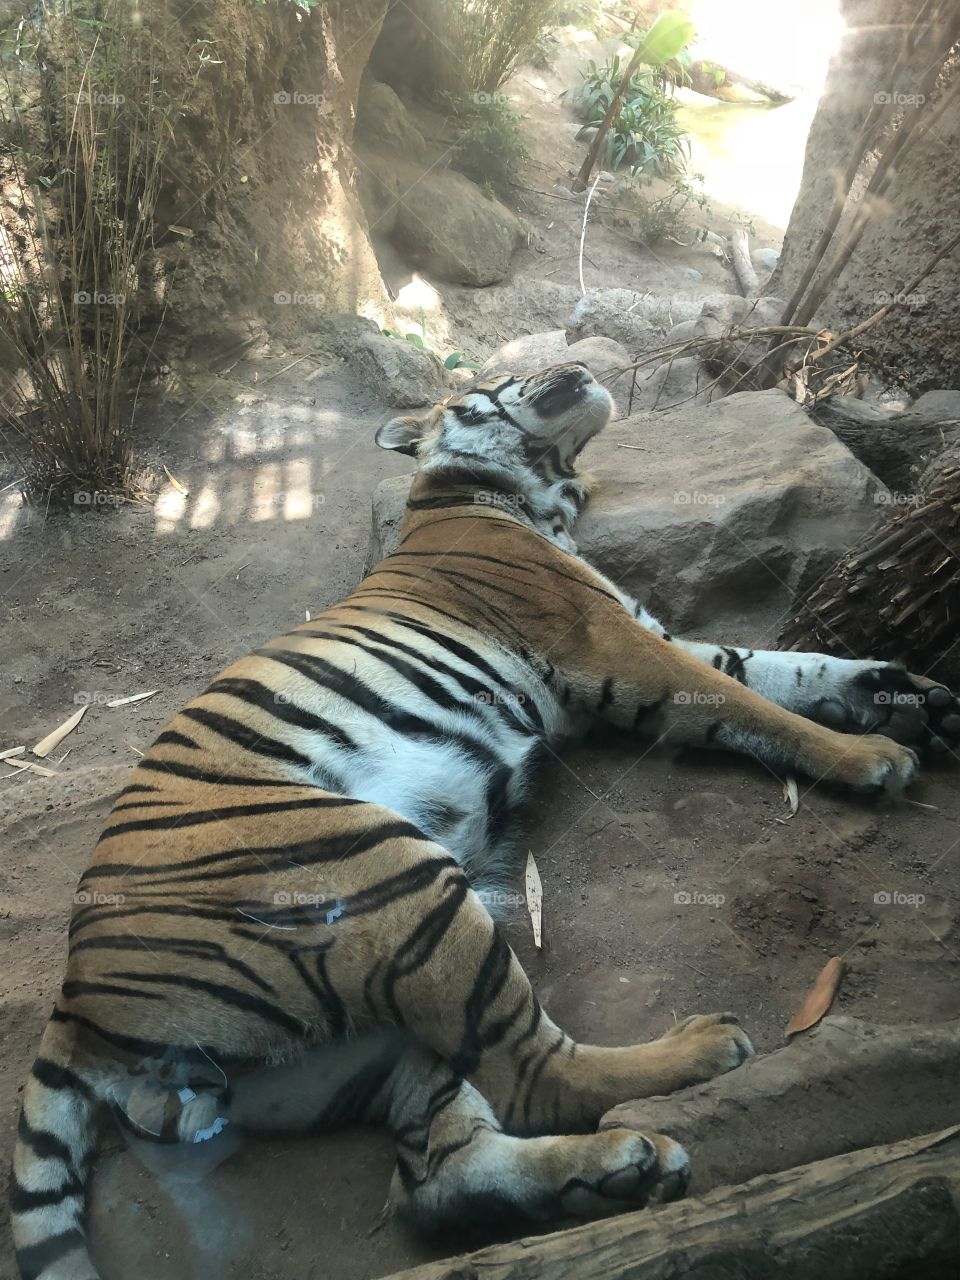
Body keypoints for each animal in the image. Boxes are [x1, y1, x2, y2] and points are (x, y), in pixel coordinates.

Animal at [11, 362, 960, 1280]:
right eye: (493, 375)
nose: (570, 360)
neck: (535, 499)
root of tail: (73, 1002)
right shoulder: (617, 641)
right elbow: (753, 702)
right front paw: (870, 758)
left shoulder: (649, 635)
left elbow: (780, 667)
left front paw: (908, 695)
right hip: (392, 877)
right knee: (534, 1074)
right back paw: (698, 1056)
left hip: (360, 1033)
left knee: (437, 1175)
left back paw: (621, 1169)